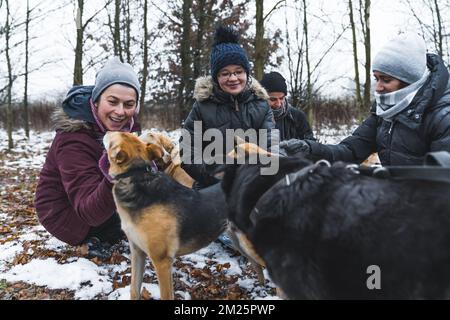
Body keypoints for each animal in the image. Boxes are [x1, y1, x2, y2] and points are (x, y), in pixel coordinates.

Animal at [103, 131, 227, 300]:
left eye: (114, 138)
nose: (107, 131)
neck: (136, 175)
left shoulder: (162, 261)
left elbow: (166, 295)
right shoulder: (137, 252)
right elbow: (134, 289)